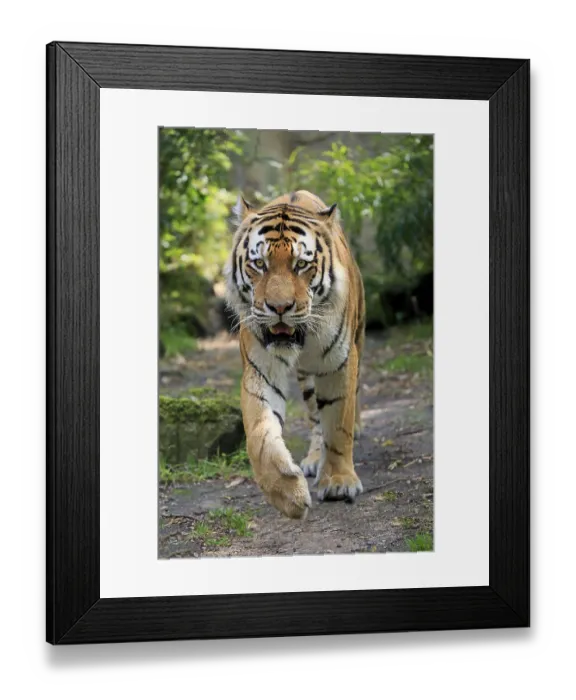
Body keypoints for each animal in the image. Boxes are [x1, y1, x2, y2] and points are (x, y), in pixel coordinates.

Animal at [224, 190, 365, 520]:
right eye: (259, 263)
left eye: (301, 264)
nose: (279, 307)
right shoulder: (260, 369)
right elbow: (260, 436)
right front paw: (288, 493)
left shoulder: (340, 364)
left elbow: (338, 424)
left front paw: (339, 482)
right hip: (308, 380)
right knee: (315, 416)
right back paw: (314, 460)